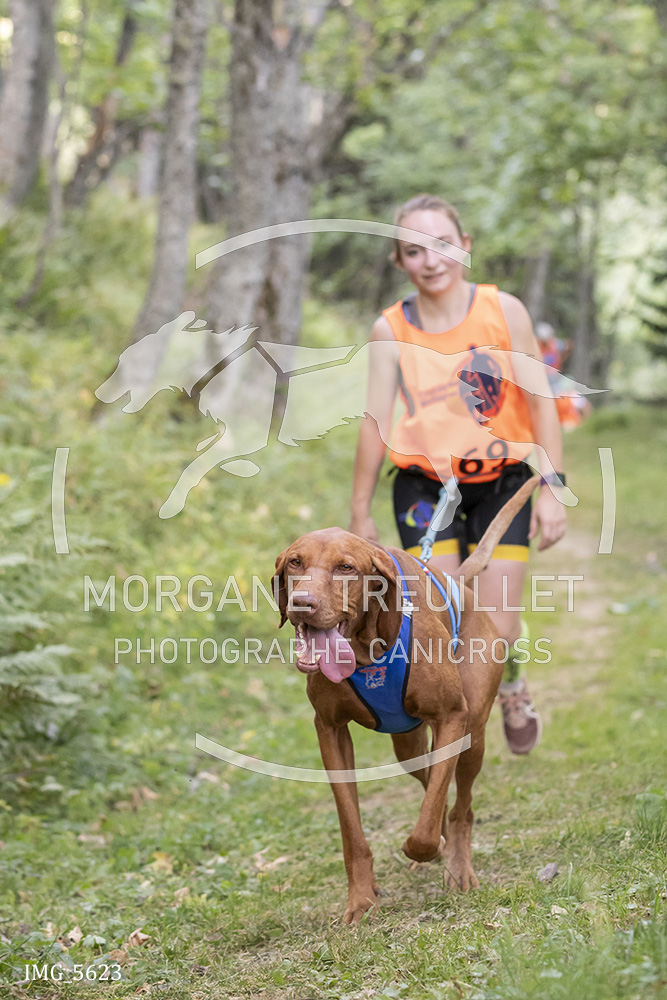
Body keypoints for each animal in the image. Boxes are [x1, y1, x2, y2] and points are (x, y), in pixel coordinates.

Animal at [272, 476, 540, 924]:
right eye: (295, 562)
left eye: (346, 567)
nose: (302, 604)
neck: (365, 650)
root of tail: (460, 582)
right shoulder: (331, 732)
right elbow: (353, 831)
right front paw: (362, 900)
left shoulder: (451, 717)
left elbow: (428, 824)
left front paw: (426, 850)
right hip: (409, 745)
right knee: (432, 778)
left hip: (473, 734)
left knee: (460, 805)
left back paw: (458, 866)